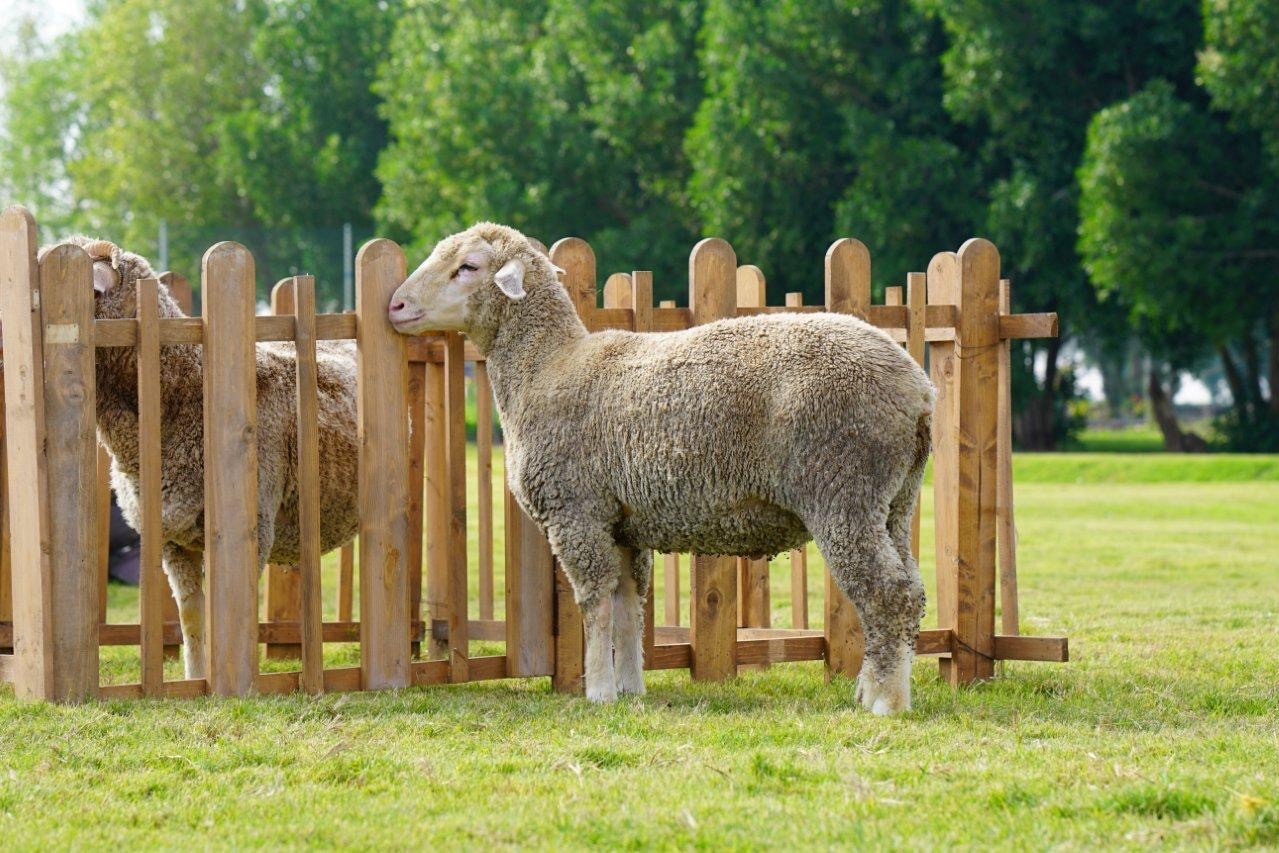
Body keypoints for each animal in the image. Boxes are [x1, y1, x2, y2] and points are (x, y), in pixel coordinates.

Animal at [49, 237, 361, 680]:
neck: (187, 388)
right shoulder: (173, 540)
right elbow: (192, 617)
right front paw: (195, 677)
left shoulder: (250, 531)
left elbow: (222, 613)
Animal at [388, 224, 934, 714]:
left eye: (468, 267)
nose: (395, 306)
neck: (546, 368)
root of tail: (919, 390)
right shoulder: (624, 524)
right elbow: (630, 605)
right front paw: (631, 688)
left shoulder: (577, 512)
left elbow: (594, 602)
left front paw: (598, 691)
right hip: (896, 500)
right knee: (912, 590)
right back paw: (881, 689)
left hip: (842, 489)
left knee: (889, 594)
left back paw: (885, 702)